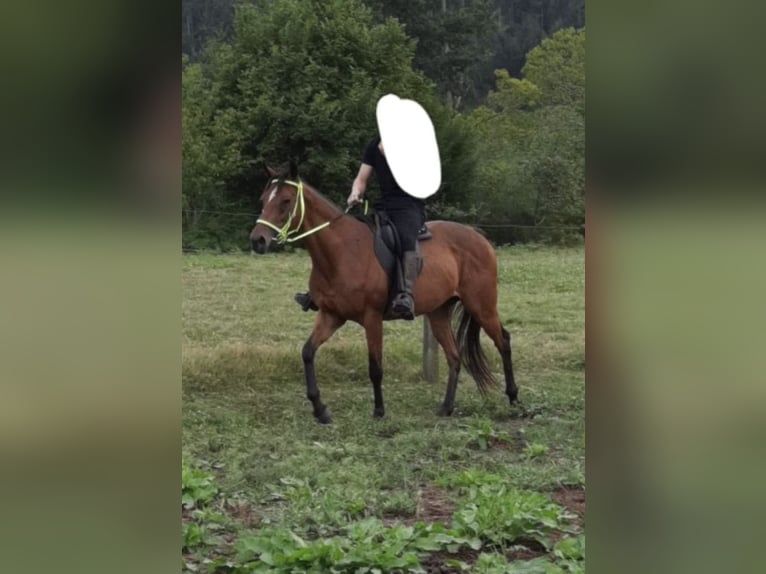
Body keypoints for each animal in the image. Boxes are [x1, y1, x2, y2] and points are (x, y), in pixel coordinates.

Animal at [249, 164, 520, 426]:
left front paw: (379, 411)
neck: (341, 253)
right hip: (438, 313)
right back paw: (446, 408)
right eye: (263, 199)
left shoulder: (372, 318)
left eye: (285, 201)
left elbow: (375, 367)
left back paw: (514, 400)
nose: (258, 240)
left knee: (503, 341)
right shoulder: (331, 316)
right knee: (454, 356)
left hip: (481, 305)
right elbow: (307, 352)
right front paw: (320, 409)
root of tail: (479, 237)